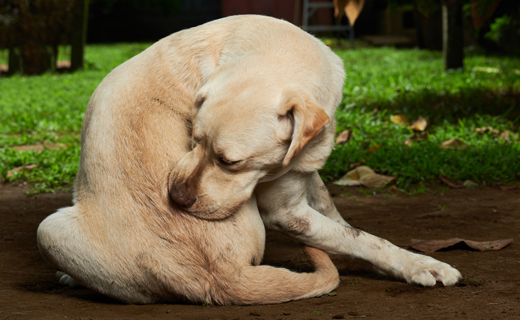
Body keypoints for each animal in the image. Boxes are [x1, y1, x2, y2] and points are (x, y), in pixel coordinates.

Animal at [36, 15, 462, 304]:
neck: (275, 46)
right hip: (48, 228)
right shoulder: (286, 213)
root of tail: (219, 278)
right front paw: (420, 264)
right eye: (193, 140)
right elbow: (362, 238)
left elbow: (345, 225)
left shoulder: (303, 176)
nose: (176, 198)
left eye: (231, 162)